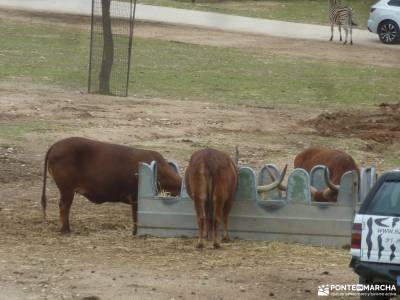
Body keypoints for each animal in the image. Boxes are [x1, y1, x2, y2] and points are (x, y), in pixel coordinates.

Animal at [40, 138, 181, 234]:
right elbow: (136, 216)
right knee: (64, 206)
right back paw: (66, 230)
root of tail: (55, 146)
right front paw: (135, 232)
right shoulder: (135, 197)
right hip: (66, 188)